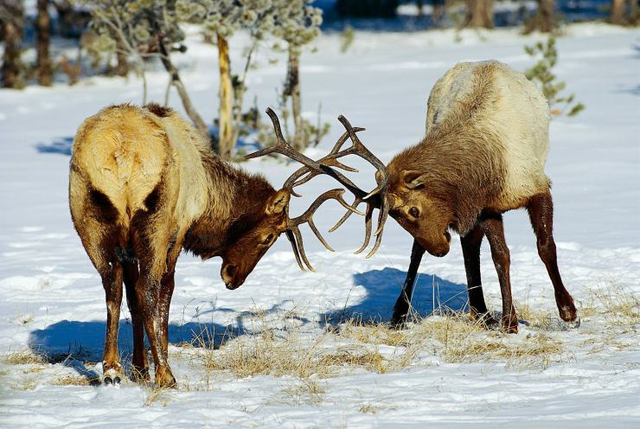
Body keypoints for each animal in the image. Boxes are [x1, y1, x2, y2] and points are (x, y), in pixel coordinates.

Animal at [69, 102, 380, 386]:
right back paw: (166, 376)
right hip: (155, 222)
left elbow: (131, 298)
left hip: (90, 222)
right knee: (148, 290)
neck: (208, 195)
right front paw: (158, 364)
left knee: (112, 288)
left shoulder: (130, 250)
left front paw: (140, 368)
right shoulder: (178, 231)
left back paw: (111, 370)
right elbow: (163, 293)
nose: (234, 278)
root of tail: (121, 153)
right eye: (270, 236)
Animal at [324, 60, 580, 332]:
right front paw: (509, 321)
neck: (486, 170)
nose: (438, 250)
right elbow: (500, 256)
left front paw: (568, 312)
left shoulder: (534, 187)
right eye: (392, 216)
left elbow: (545, 247)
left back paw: (479, 312)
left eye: (413, 210)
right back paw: (415, 312)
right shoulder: (486, 206)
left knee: (466, 245)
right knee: (438, 249)